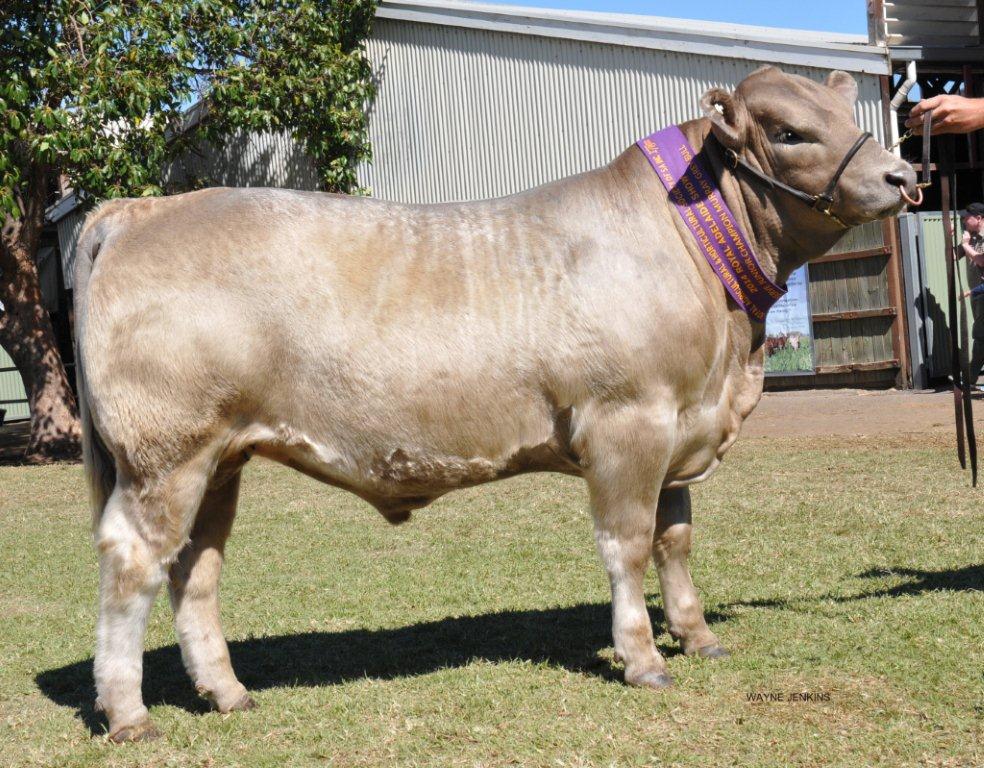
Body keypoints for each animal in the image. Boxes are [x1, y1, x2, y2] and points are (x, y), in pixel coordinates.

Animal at [75, 69, 916, 740]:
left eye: (844, 112)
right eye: (789, 131)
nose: (904, 176)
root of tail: (139, 209)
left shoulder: (682, 429)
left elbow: (674, 542)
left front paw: (699, 637)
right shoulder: (629, 422)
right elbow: (629, 545)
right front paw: (643, 659)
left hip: (220, 456)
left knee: (195, 569)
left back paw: (228, 693)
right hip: (165, 454)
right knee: (134, 564)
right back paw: (130, 714)